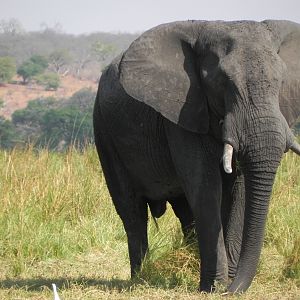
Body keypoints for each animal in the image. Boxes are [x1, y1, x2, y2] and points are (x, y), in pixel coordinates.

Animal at [94, 19, 300, 292]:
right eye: (222, 82)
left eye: (281, 82)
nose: (232, 292)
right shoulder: (183, 113)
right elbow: (205, 187)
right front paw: (215, 287)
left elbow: (240, 189)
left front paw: (224, 282)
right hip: (104, 132)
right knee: (132, 212)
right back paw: (141, 277)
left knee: (185, 212)